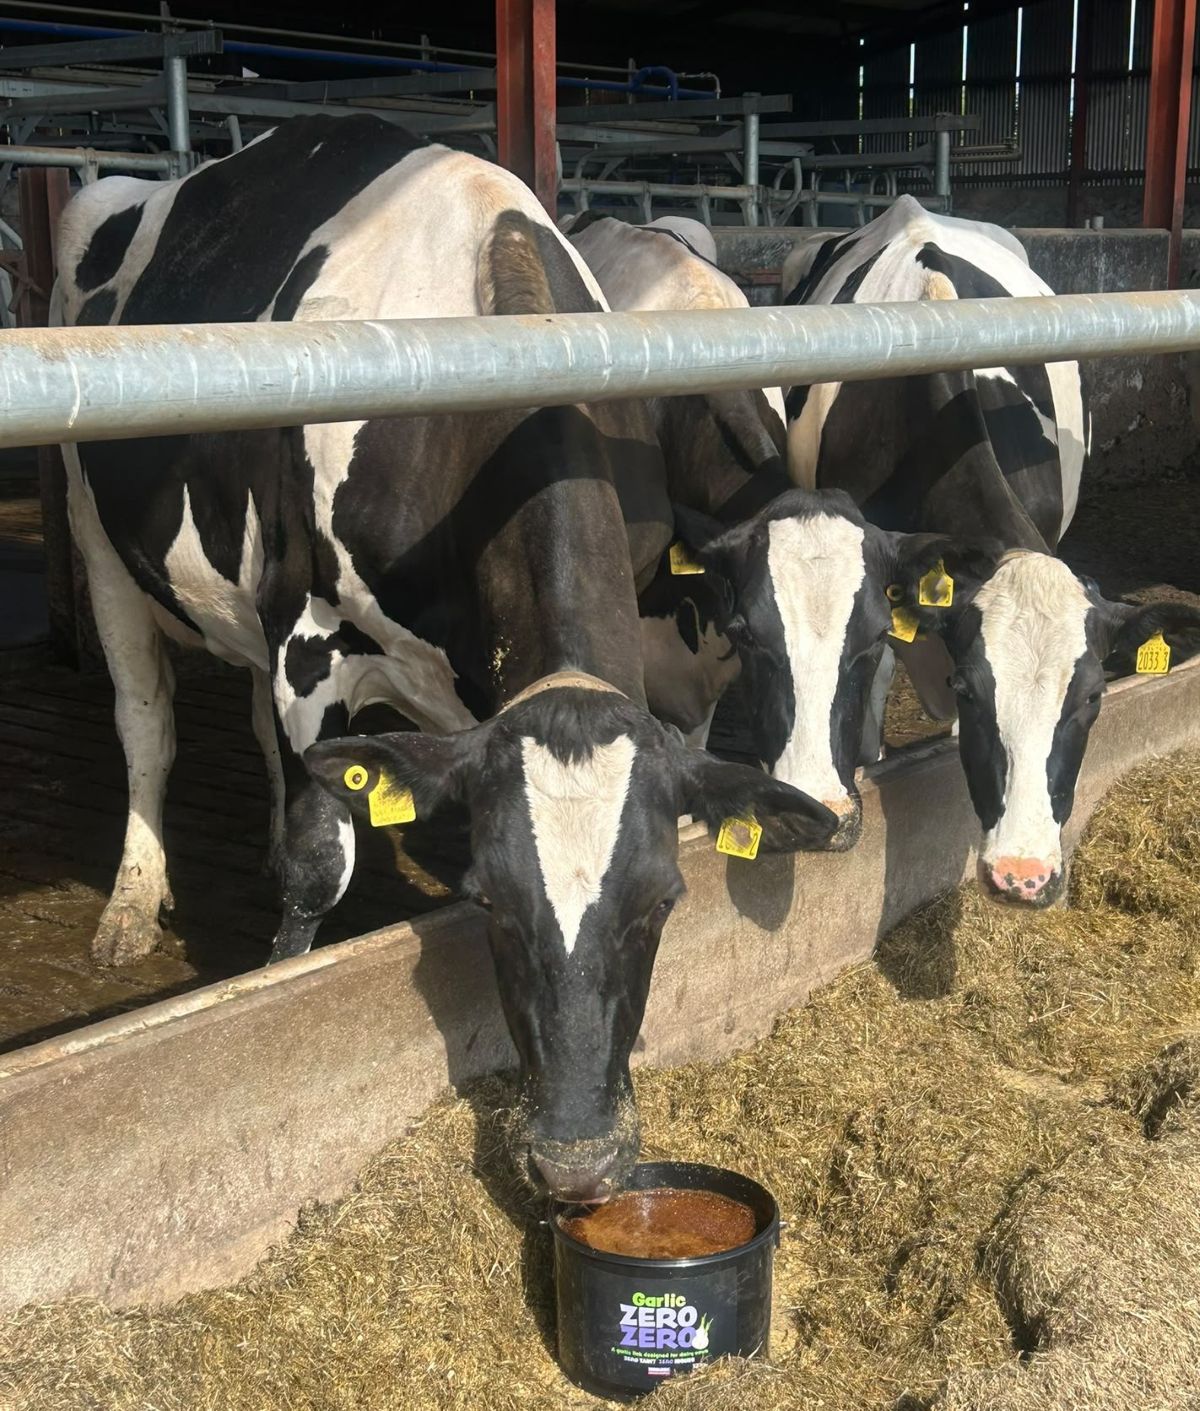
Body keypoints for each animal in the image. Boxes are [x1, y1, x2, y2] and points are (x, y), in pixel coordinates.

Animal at [55, 115, 836, 1201]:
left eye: (663, 901)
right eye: (489, 905)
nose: (579, 1162)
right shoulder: (306, 636)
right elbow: (317, 864)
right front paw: (275, 984)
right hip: (97, 533)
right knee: (146, 722)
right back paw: (131, 900)